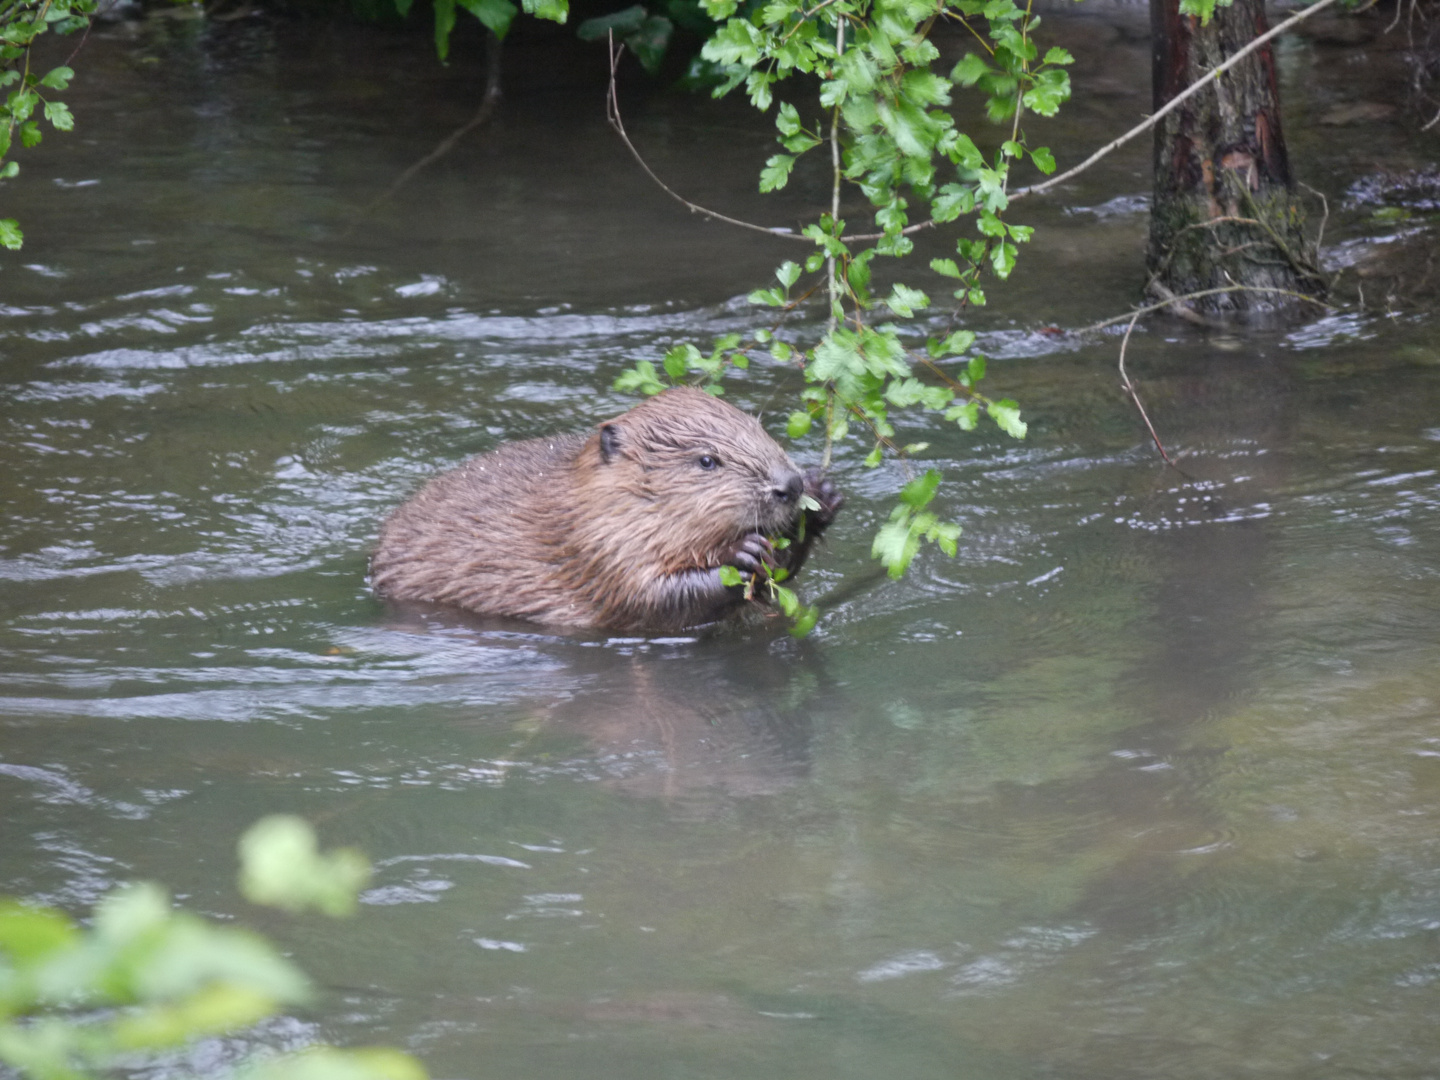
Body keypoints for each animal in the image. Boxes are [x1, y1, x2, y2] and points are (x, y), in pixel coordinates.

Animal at [368, 385, 840, 633]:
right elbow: (648, 599)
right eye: (708, 460)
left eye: (758, 428)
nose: (789, 484)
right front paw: (742, 555)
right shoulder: (595, 546)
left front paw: (822, 496)